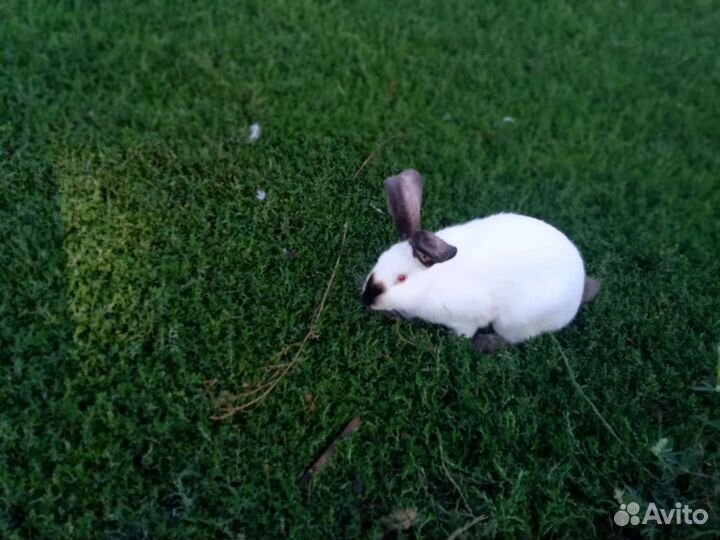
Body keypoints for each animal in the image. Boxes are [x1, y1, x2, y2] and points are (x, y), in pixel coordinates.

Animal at [361, 169, 600, 353]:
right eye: (379, 260)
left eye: (402, 278)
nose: (366, 299)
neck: (431, 284)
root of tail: (579, 292)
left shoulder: (467, 319)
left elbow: (463, 333)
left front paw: (453, 344)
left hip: (513, 321)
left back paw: (484, 344)